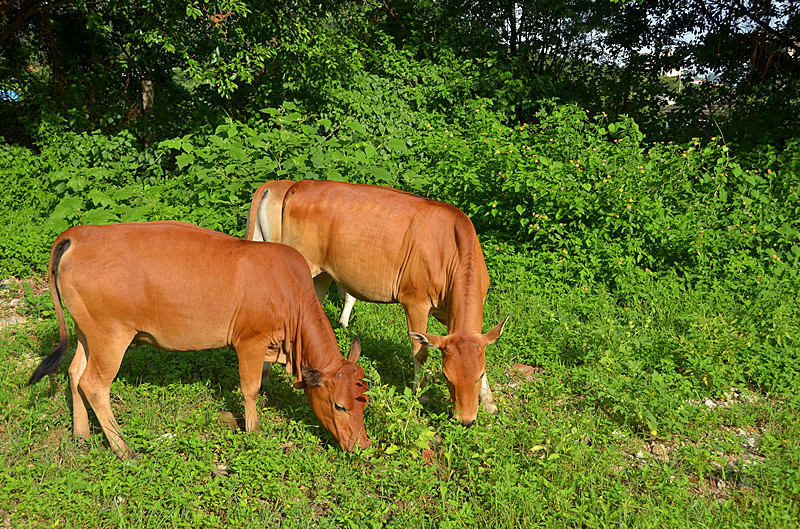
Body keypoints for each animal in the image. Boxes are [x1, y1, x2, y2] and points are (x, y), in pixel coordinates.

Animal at [27, 219, 372, 458]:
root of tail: (80, 234)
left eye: (364, 402)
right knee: (94, 384)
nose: (362, 445)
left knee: (74, 373)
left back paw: (82, 435)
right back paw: (123, 448)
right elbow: (250, 388)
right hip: (110, 335)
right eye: (339, 406)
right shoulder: (251, 341)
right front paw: (254, 431)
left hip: (87, 332)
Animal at [247, 178, 506, 424]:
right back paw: (267, 375)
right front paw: (420, 396)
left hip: (320, 274)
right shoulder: (415, 302)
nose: (466, 420)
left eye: (480, 375)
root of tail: (300, 186)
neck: (448, 250)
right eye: (445, 376)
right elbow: (420, 353)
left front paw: (490, 404)